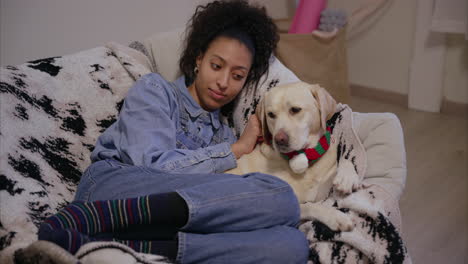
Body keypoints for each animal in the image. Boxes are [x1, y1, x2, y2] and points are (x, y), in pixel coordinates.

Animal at [227, 82, 354, 231]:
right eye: (271, 114)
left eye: (295, 110)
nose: (279, 139)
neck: (306, 156)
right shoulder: (292, 206)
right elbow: (310, 206)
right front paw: (334, 216)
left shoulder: (324, 189)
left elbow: (345, 160)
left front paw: (347, 177)